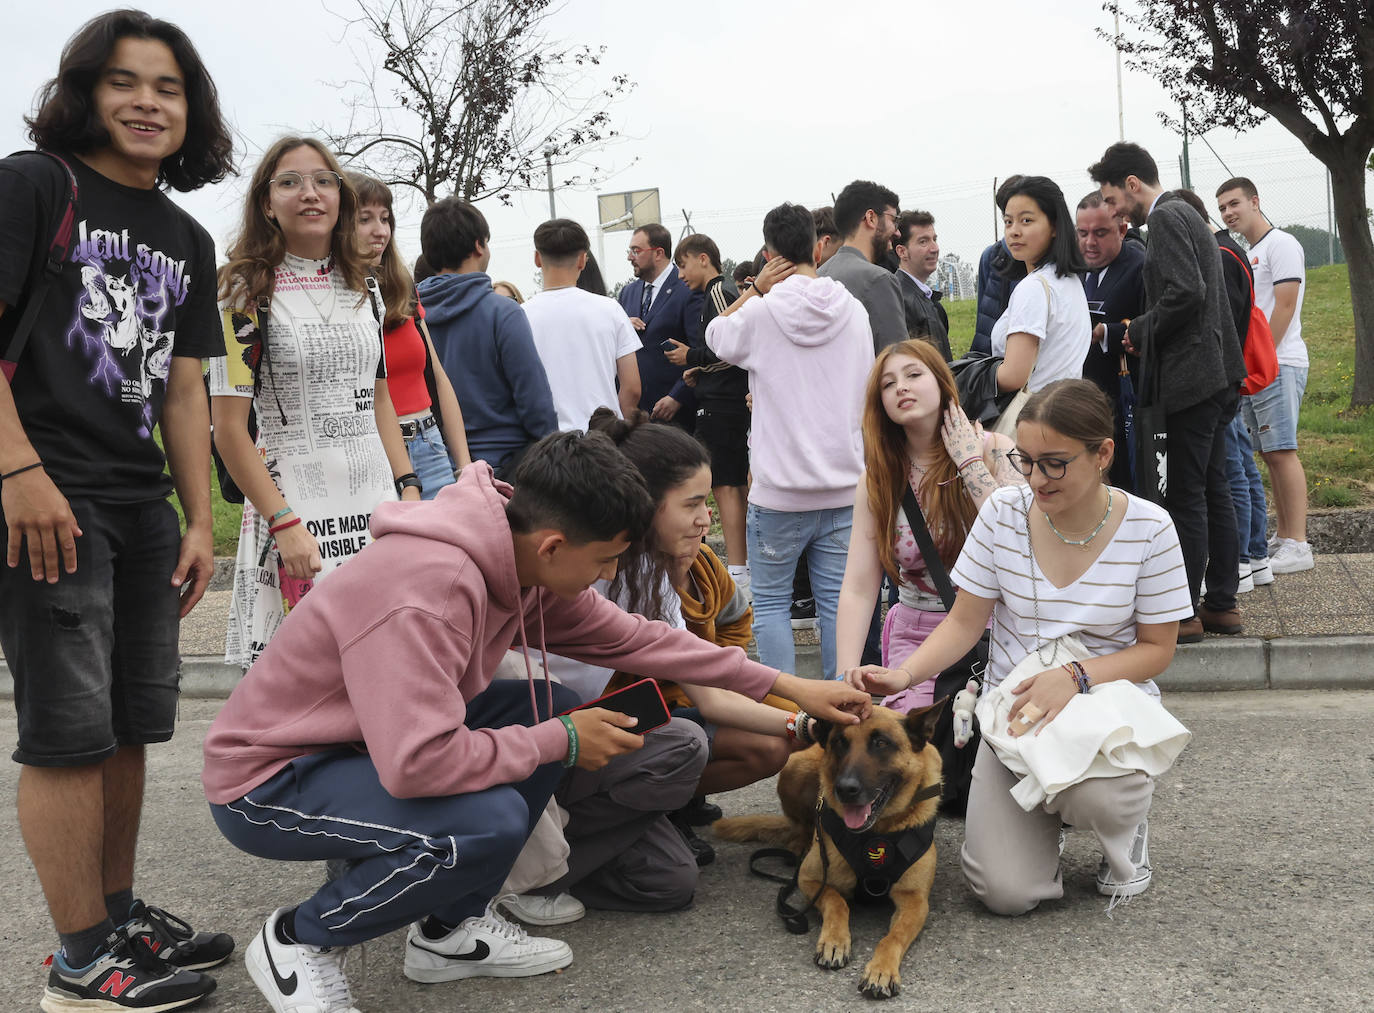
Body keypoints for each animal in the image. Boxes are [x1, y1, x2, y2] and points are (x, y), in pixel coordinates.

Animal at [708, 698, 945, 1000]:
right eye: (840, 742)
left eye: (881, 742)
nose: (845, 789)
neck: (878, 832)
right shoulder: (810, 879)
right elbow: (837, 902)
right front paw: (834, 941)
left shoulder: (915, 901)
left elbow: (893, 936)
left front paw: (881, 970)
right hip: (795, 768)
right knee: (800, 825)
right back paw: (800, 843)